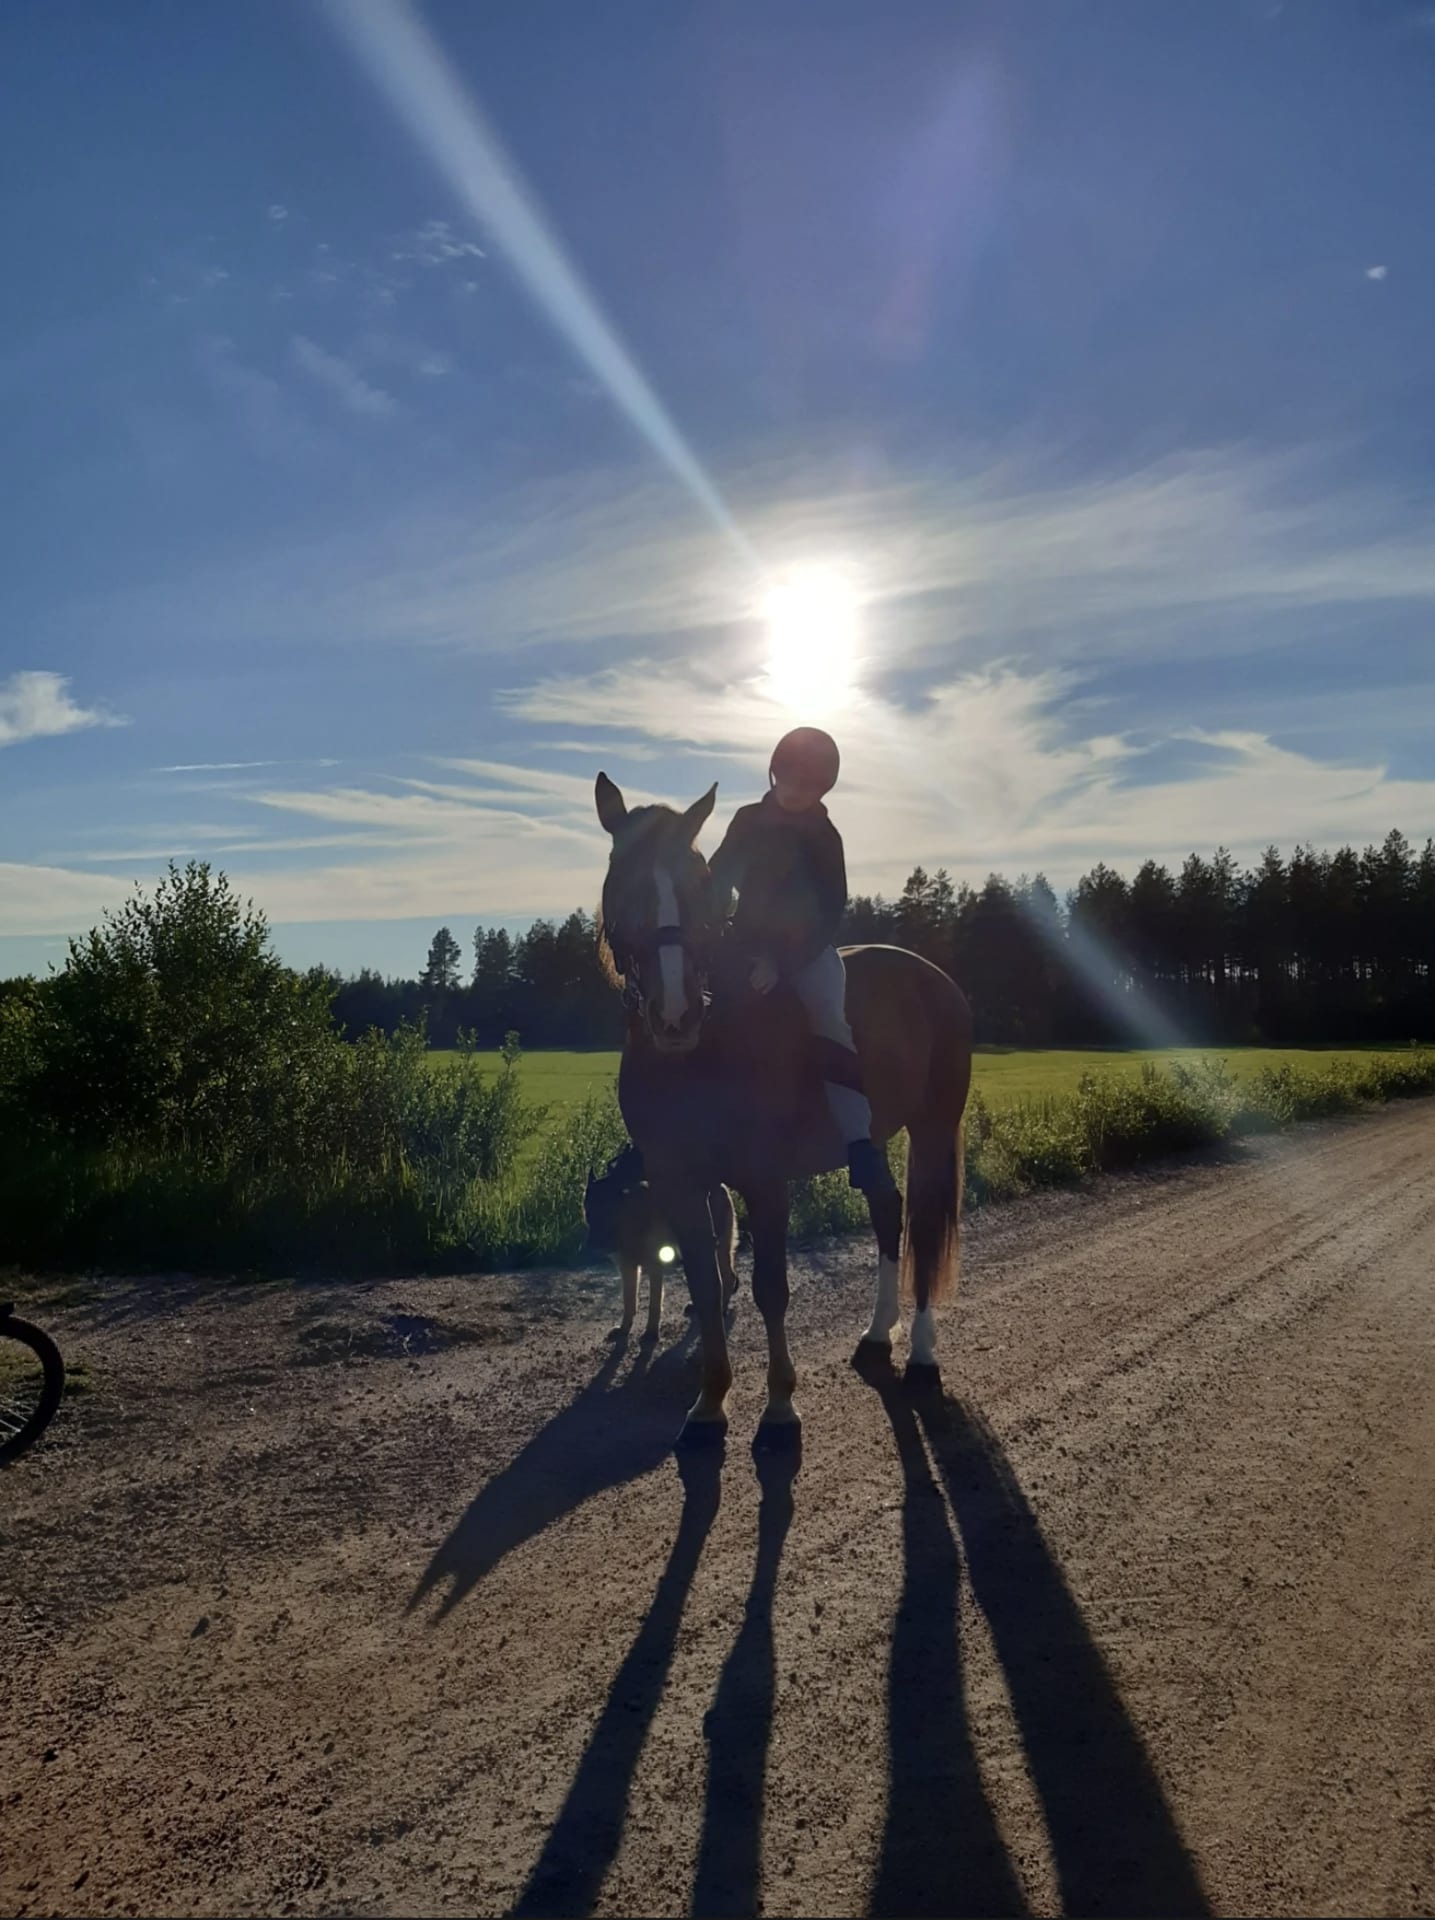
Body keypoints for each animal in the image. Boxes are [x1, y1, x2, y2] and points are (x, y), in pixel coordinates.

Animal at [583, 1144, 741, 1344]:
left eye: (607, 1211)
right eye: (589, 1213)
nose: (591, 1245)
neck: (629, 1217)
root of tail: (719, 1185)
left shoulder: (654, 1268)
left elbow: (654, 1304)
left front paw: (651, 1332)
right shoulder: (628, 1269)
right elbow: (629, 1302)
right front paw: (624, 1329)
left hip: (715, 1249)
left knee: (727, 1278)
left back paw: (722, 1307)